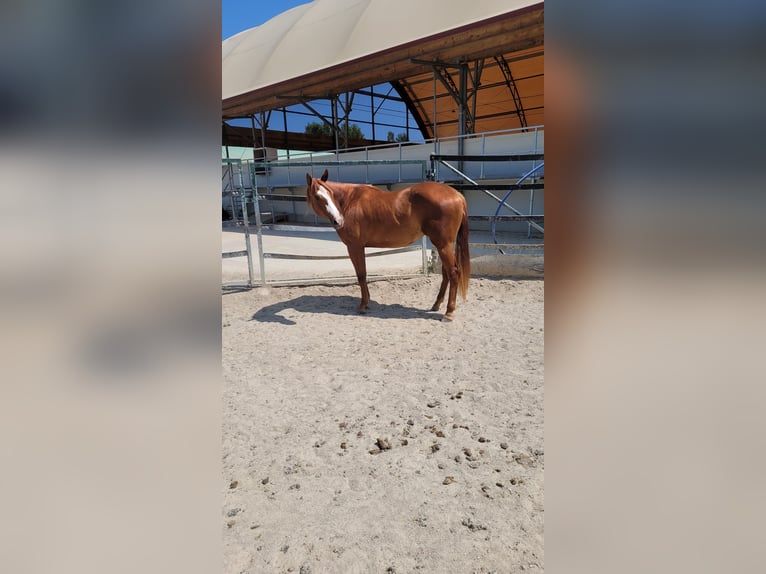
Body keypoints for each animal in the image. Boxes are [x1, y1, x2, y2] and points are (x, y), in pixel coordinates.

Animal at [304, 171, 472, 324]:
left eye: (331, 194)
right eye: (318, 197)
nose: (339, 220)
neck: (350, 200)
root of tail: (457, 195)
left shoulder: (354, 247)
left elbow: (361, 275)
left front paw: (363, 305)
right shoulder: (359, 247)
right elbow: (363, 274)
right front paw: (367, 301)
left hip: (443, 245)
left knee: (453, 273)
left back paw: (448, 313)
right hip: (444, 245)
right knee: (446, 274)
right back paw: (436, 305)